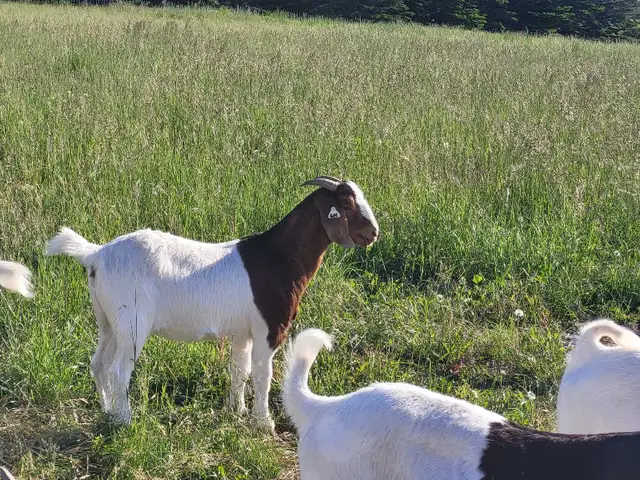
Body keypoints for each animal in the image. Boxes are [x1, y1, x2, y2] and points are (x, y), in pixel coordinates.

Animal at [45, 176, 378, 431]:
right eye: (346, 204)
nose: (373, 233)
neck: (280, 257)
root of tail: (96, 254)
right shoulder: (269, 328)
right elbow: (263, 374)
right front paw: (263, 422)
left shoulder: (243, 331)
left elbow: (240, 369)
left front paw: (237, 411)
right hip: (131, 322)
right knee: (118, 370)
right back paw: (125, 420)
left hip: (107, 320)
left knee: (99, 363)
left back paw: (108, 411)